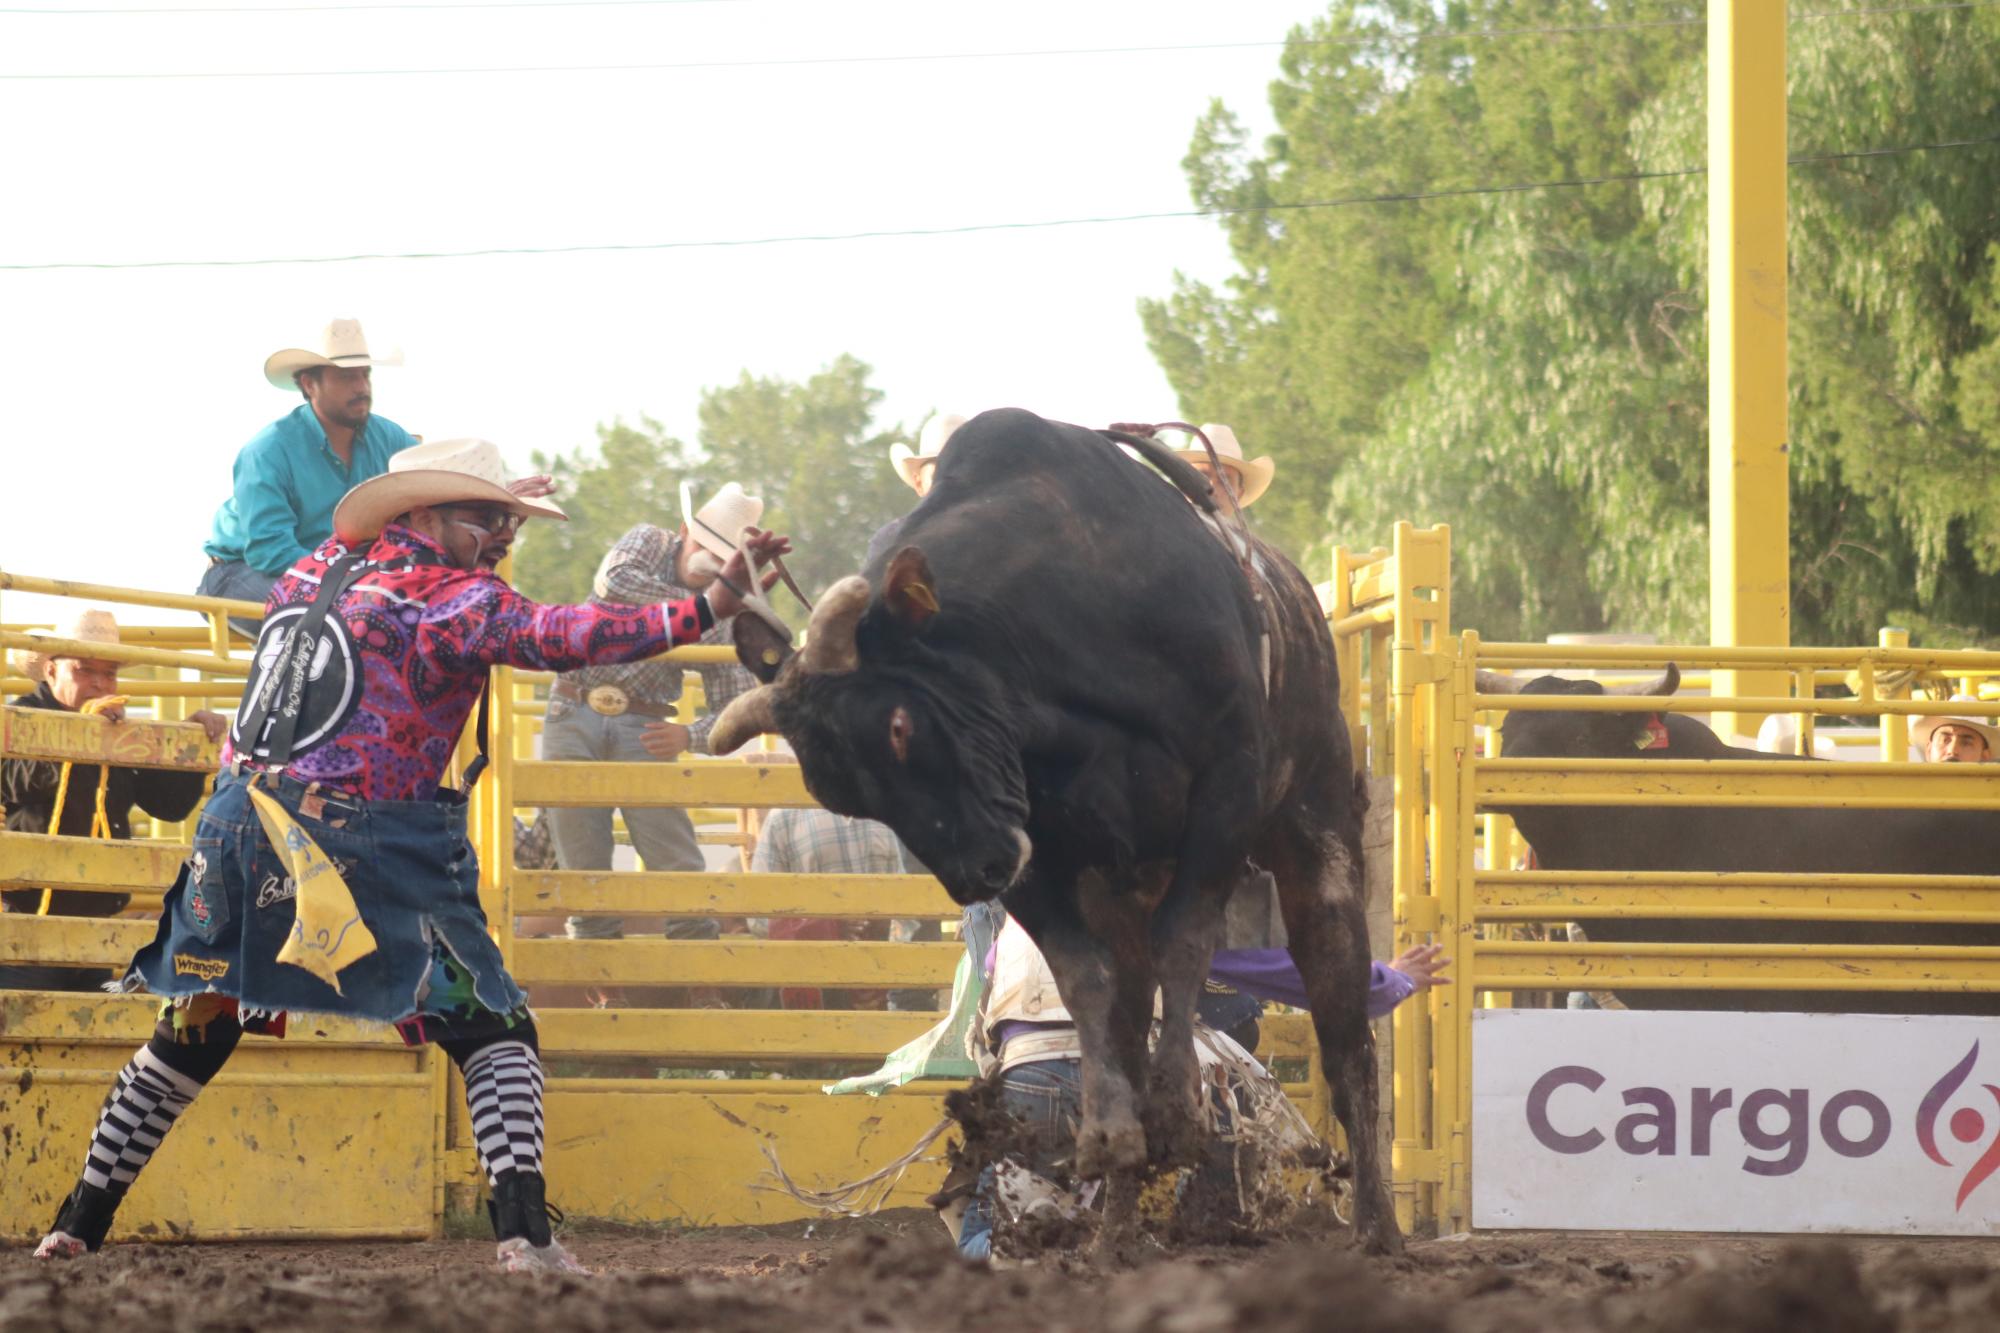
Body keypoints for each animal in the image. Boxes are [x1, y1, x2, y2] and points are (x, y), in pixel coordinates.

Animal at [712, 404, 1400, 1248]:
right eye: (841, 791)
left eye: (901, 724)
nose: (972, 875)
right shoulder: (1033, 849)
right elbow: (1083, 978)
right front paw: (1111, 1130)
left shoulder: (1227, 786)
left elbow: (1188, 939)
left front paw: (1178, 1105)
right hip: (1119, 883)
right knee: (1130, 1007)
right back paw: (1114, 1230)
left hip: (1315, 828)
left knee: (1344, 1030)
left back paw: (1377, 1225)